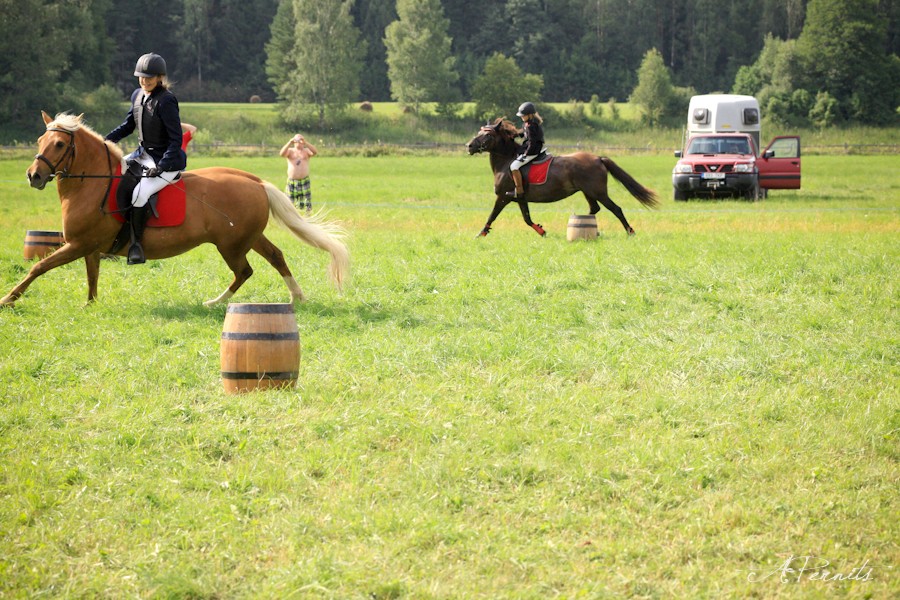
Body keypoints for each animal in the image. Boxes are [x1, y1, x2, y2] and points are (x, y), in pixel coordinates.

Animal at [1, 111, 349, 308]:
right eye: (40, 140)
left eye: (60, 145)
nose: (33, 176)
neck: (95, 184)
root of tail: (255, 180)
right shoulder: (88, 246)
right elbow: (91, 276)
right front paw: (91, 306)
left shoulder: (78, 244)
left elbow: (38, 268)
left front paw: (8, 299)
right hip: (248, 238)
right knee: (274, 257)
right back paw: (295, 297)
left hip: (231, 244)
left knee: (244, 271)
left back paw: (215, 302)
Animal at [465, 118, 659, 237]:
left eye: (488, 134)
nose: (469, 146)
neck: (507, 160)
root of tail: (598, 158)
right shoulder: (520, 198)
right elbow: (527, 219)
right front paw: (542, 231)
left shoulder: (503, 197)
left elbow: (492, 216)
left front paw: (481, 233)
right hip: (588, 192)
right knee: (594, 209)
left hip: (598, 192)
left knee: (616, 209)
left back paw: (630, 231)